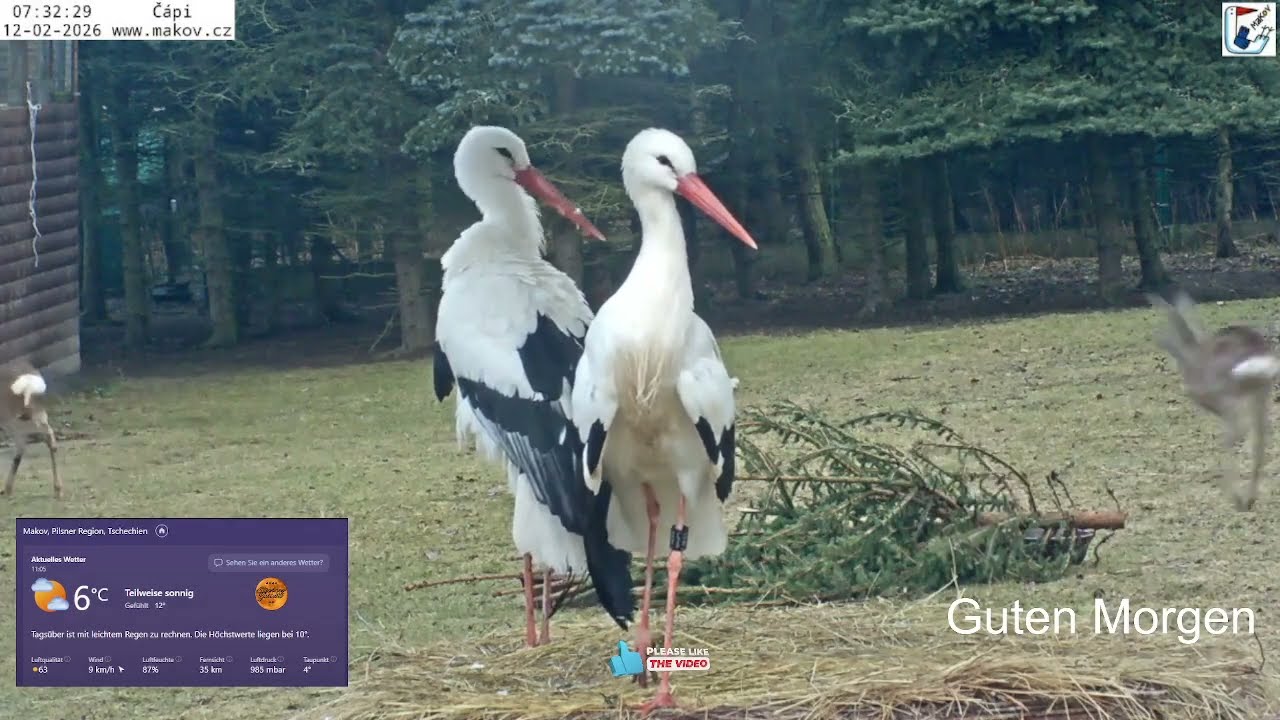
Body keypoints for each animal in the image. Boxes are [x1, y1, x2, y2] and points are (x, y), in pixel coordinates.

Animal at [1149, 291, 1279, 511]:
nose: (1160, 341)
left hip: (1233, 394)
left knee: (1238, 433)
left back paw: (1237, 498)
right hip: (1260, 393)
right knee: (1259, 441)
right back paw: (1249, 499)